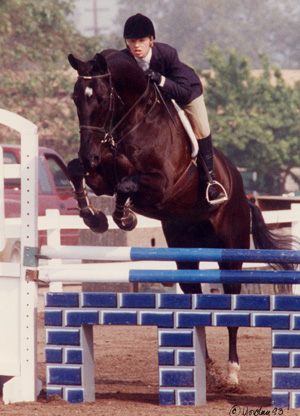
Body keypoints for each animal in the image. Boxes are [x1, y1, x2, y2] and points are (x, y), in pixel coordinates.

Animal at [67, 50, 296, 386]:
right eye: (75, 98)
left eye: (103, 98)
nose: (89, 155)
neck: (132, 122)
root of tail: (245, 195)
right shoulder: (101, 176)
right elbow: (77, 171)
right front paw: (93, 216)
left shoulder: (161, 184)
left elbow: (126, 185)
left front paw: (124, 219)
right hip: (185, 250)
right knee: (193, 295)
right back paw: (207, 366)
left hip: (231, 252)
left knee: (232, 303)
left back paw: (231, 371)